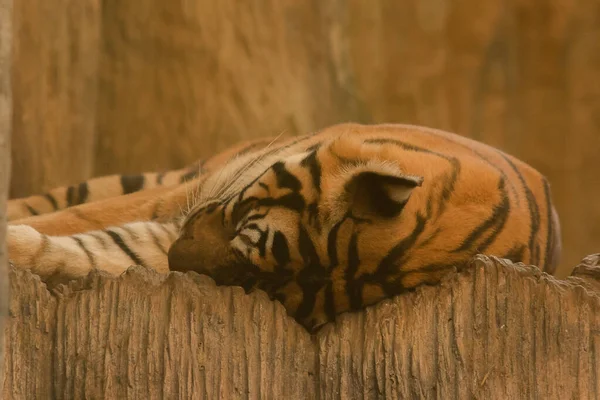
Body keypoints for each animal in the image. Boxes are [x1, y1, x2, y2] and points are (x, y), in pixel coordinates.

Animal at [5, 122, 564, 332]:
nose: (174, 264)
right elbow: (80, 219)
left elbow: (98, 248)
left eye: (252, 282)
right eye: (238, 223)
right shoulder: (185, 195)